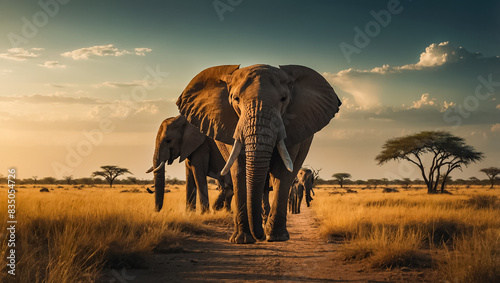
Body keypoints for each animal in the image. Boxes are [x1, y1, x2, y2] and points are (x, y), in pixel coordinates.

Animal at [175, 64, 340, 244]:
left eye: (283, 99)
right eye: (236, 99)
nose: (259, 236)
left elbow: (282, 171)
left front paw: (276, 237)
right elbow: (239, 169)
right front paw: (242, 240)